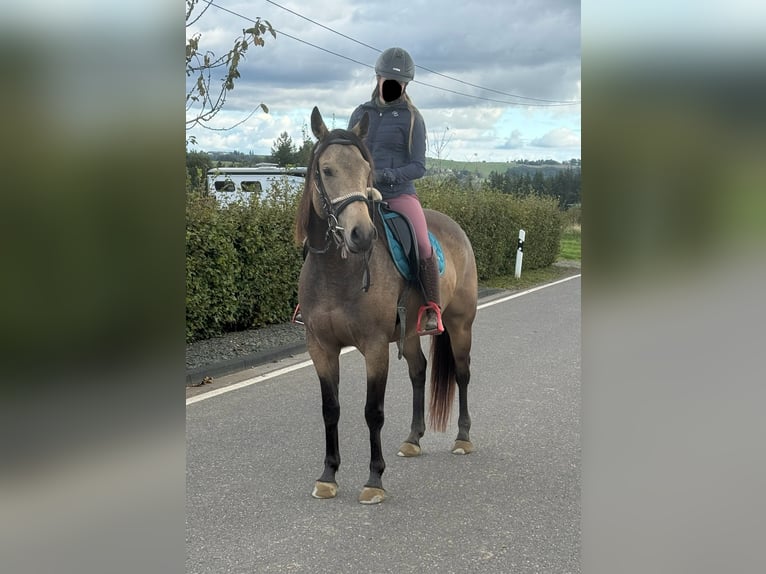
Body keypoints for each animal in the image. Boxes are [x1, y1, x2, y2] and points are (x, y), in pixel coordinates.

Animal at [296, 107, 480, 504]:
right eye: (327, 169)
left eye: (368, 170)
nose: (361, 235)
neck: (337, 273)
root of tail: (456, 228)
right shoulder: (320, 347)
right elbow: (330, 409)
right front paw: (328, 475)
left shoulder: (375, 347)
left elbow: (373, 412)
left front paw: (374, 480)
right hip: (409, 334)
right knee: (419, 370)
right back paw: (413, 439)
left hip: (460, 325)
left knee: (462, 374)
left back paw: (462, 437)